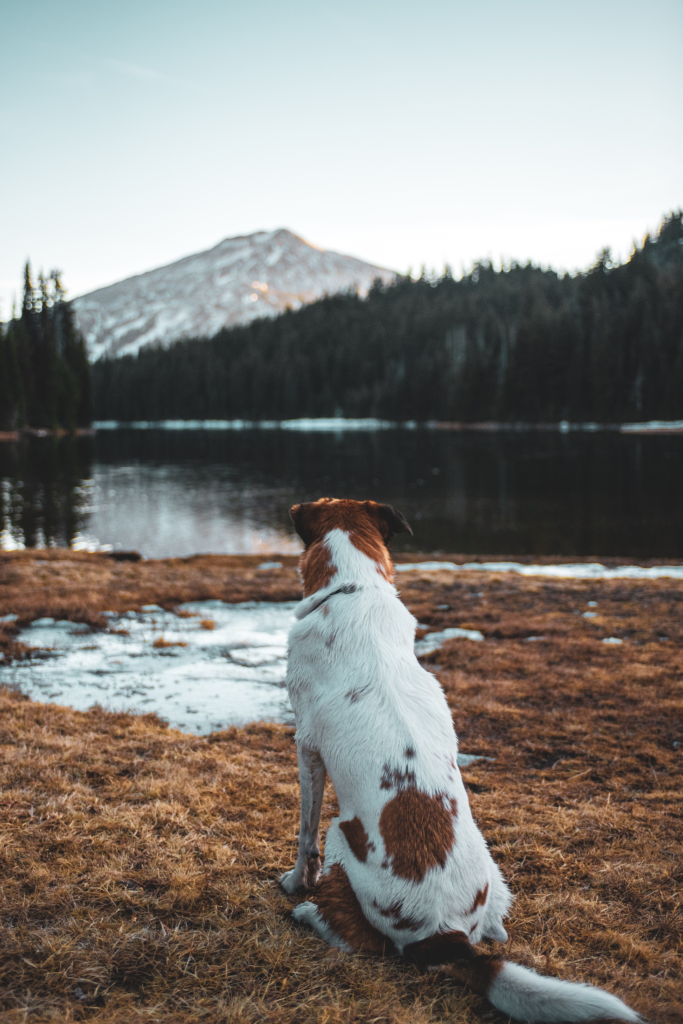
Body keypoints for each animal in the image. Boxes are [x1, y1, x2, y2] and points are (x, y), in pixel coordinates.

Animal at [280, 499, 643, 1019]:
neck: (354, 588)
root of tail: (446, 936)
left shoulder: (307, 748)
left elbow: (303, 834)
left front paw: (296, 883)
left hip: (341, 836)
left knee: (362, 940)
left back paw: (310, 913)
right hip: (494, 874)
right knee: (498, 931)